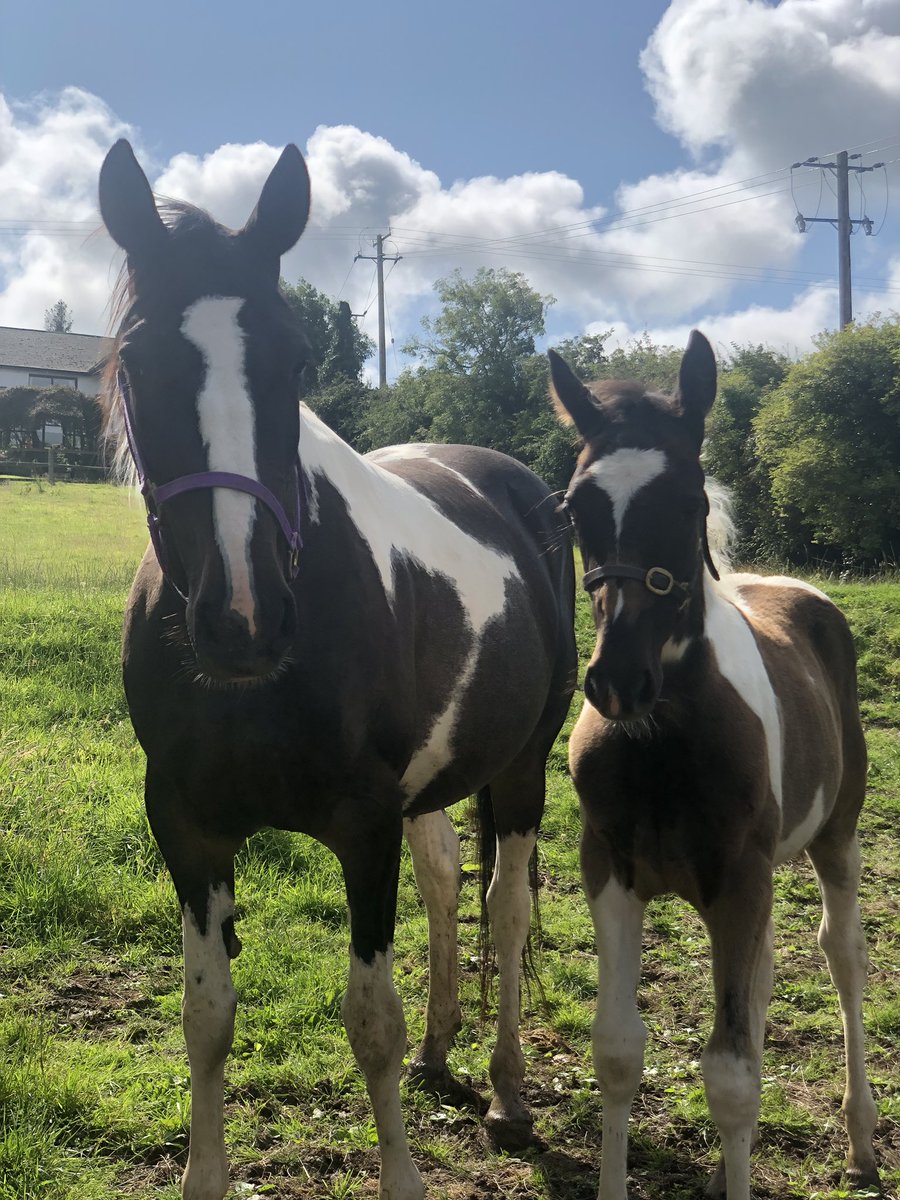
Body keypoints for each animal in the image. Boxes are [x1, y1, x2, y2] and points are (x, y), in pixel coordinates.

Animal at [98, 138, 576, 1200]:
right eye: (138, 361)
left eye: (297, 360)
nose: (242, 620)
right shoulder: (187, 826)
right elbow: (206, 1018)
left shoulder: (363, 828)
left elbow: (370, 1025)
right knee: (445, 881)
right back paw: (446, 1047)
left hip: (523, 766)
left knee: (505, 906)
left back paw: (507, 1092)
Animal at [548, 332, 880, 1200]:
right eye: (576, 507)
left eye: (689, 500)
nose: (617, 680)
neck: (664, 742)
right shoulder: (610, 869)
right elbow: (617, 1051)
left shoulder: (740, 880)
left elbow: (731, 1077)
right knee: (762, 981)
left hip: (835, 837)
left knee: (843, 957)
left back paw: (863, 1139)